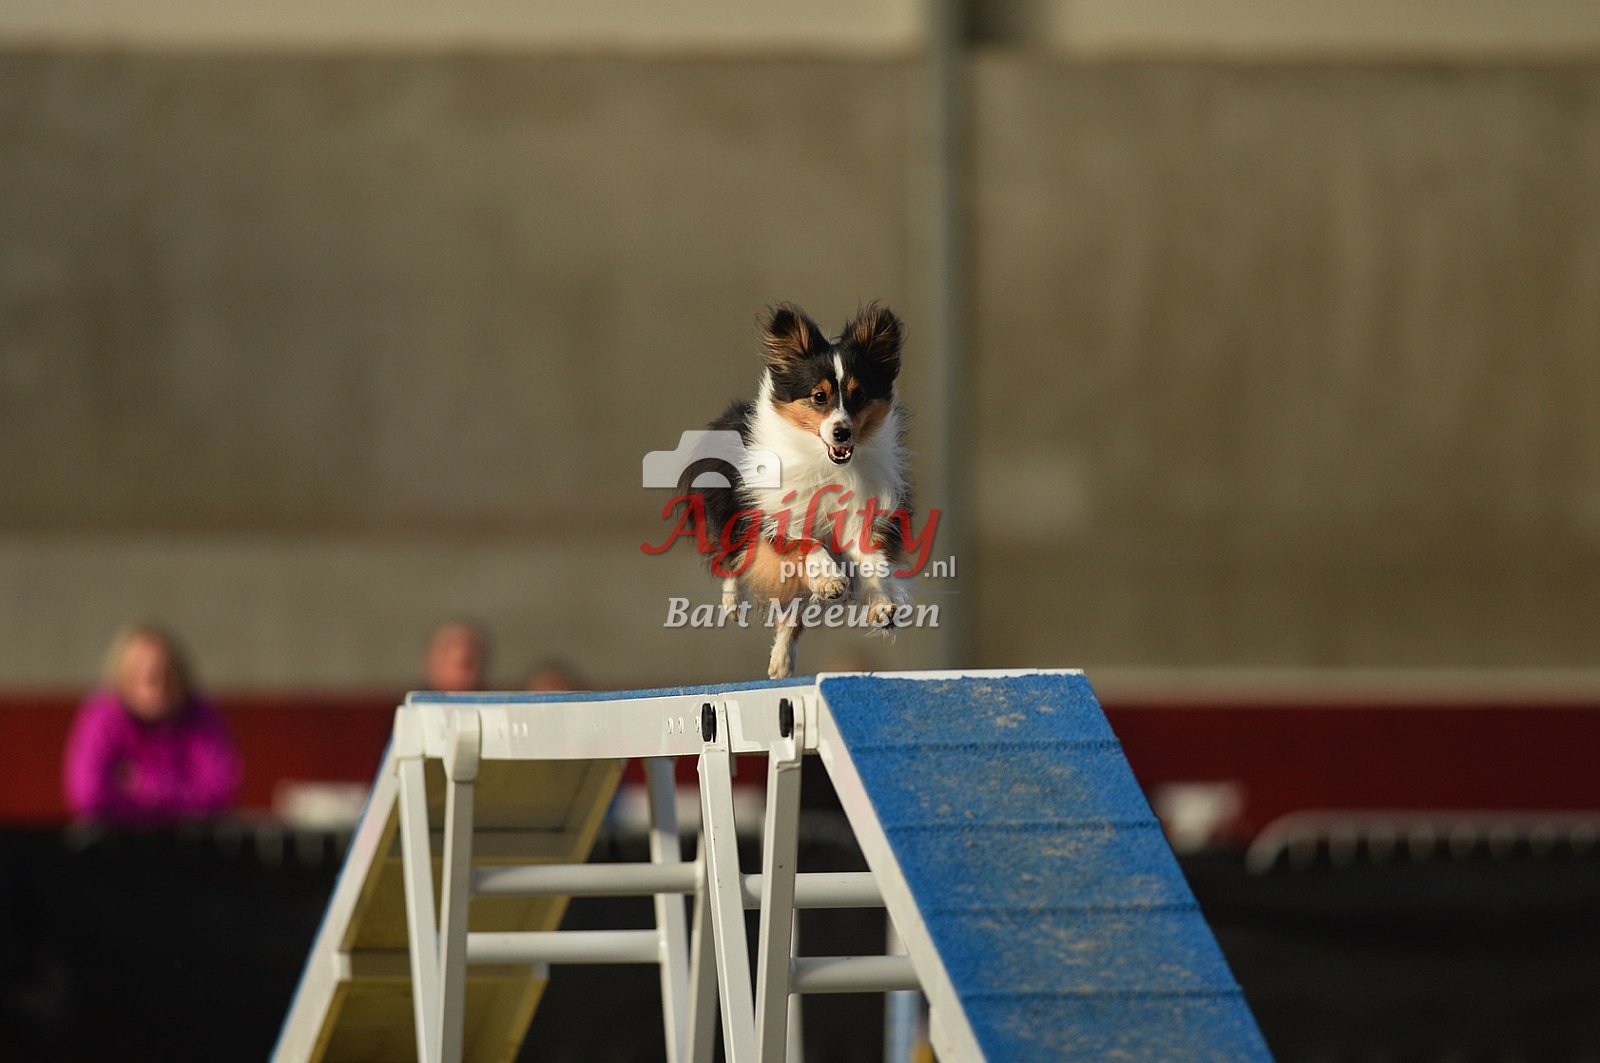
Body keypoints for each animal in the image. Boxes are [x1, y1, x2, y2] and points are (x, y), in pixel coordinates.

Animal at [677, 302, 913, 679]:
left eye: (860, 396)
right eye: (819, 397)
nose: (843, 432)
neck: (827, 462)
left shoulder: (863, 512)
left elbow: (871, 560)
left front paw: (882, 606)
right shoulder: (777, 514)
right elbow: (807, 543)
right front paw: (831, 580)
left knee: (794, 611)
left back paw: (781, 661)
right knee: (733, 557)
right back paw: (734, 604)